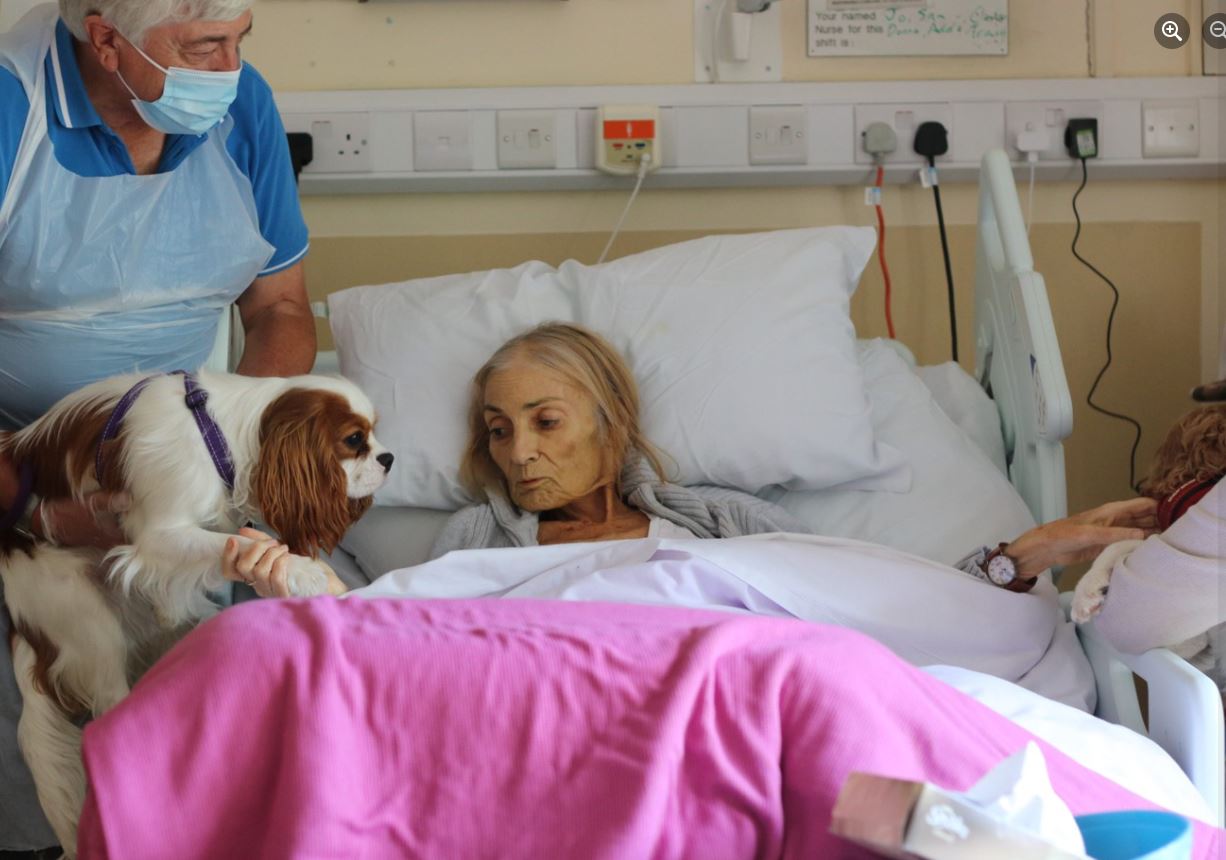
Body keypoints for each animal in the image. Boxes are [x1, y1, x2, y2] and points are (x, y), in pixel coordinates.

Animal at [1, 368, 392, 853]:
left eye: (373, 434)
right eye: (354, 440)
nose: (389, 458)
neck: (217, 435)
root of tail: (18, 620)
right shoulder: (160, 534)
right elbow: (233, 542)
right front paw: (303, 571)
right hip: (83, 611)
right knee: (108, 701)